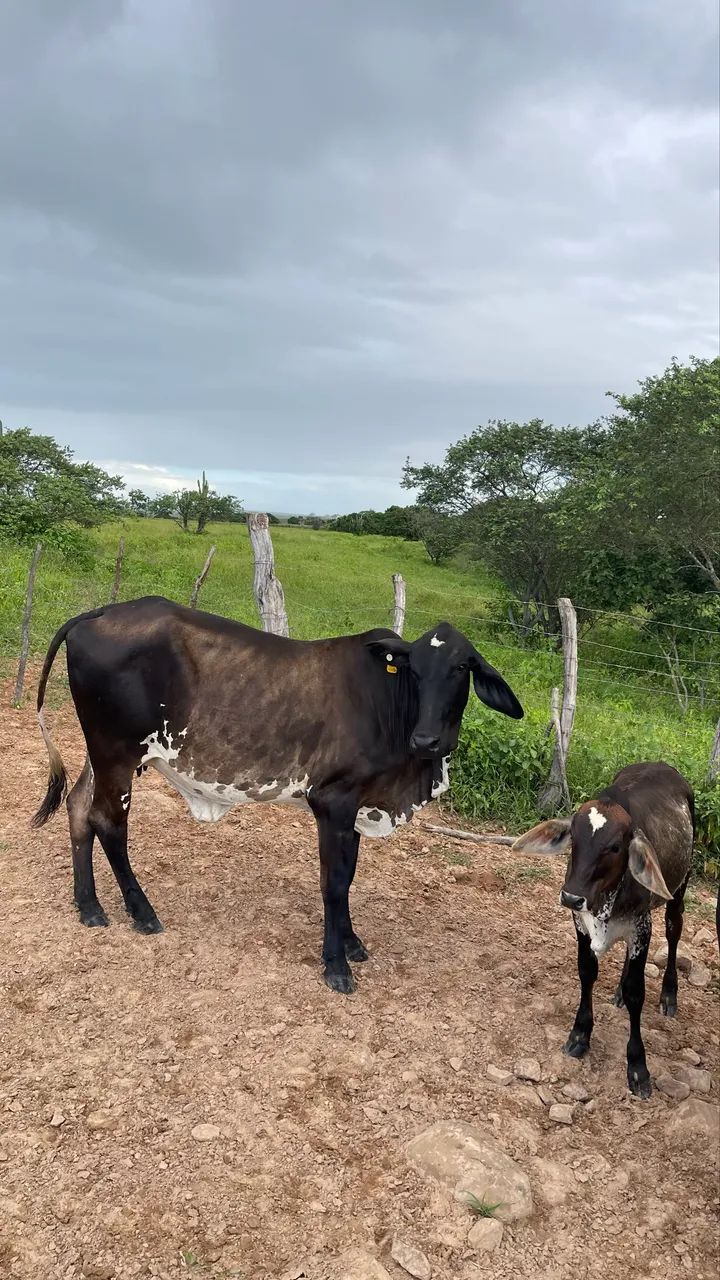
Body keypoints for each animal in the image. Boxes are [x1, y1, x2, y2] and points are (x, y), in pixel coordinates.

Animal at [33, 596, 523, 994]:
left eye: (461, 668)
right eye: (414, 670)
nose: (426, 740)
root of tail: (98, 612)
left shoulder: (356, 807)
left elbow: (349, 876)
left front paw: (352, 944)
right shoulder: (333, 802)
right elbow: (334, 883)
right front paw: (336, 966)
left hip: (103, 755)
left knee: (78, 808)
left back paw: (89, 906)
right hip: (118, 753)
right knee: (109, 824)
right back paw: (142, 913)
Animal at [512, 762, 694, 1097]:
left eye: (614, 847)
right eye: (574, 838)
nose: (571, 896)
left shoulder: (641, 927)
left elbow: (638, 992)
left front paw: (637, 1066)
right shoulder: (580, 923)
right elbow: (587, 973)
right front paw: (580, 1035)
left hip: (679, 888)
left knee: (674, 930)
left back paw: (669, 994)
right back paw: (619, 991)